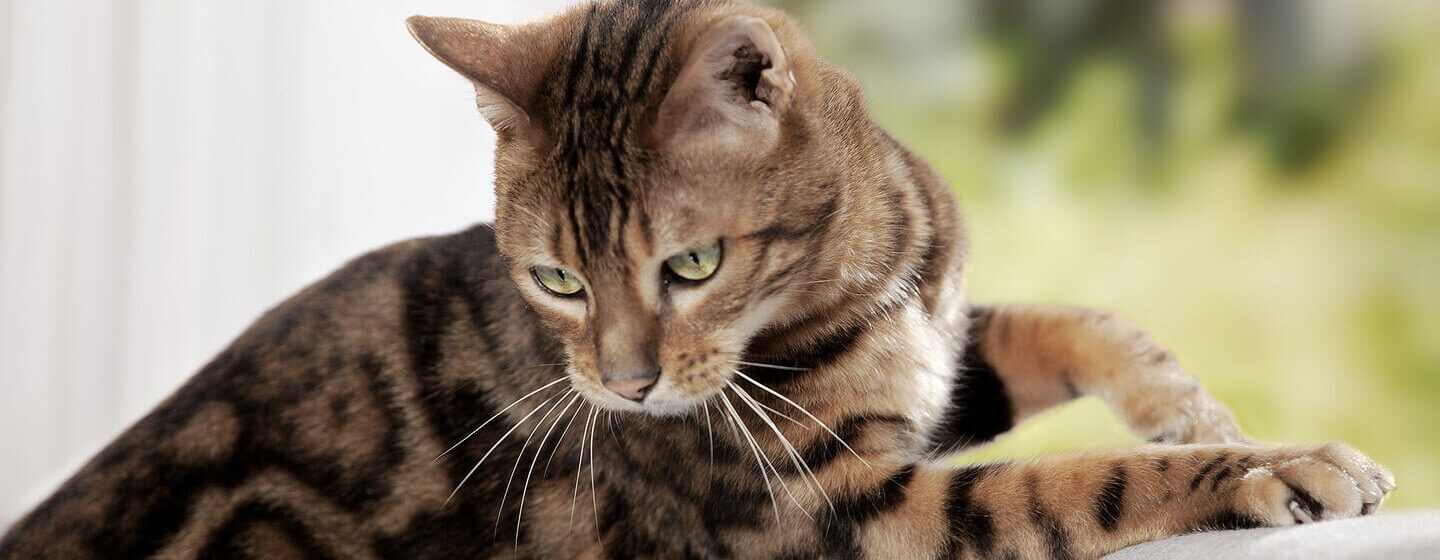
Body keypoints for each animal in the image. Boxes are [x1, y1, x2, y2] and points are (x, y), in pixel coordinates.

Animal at [0, 1, 1393, 558]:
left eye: (691, 261)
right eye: (556, 276)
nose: (622, 389)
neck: (864, 273)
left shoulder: (934, 356)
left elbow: (1082, 318)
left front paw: (1201, 411)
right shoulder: (838, 506)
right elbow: (1083, 486)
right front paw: (1273, 464)